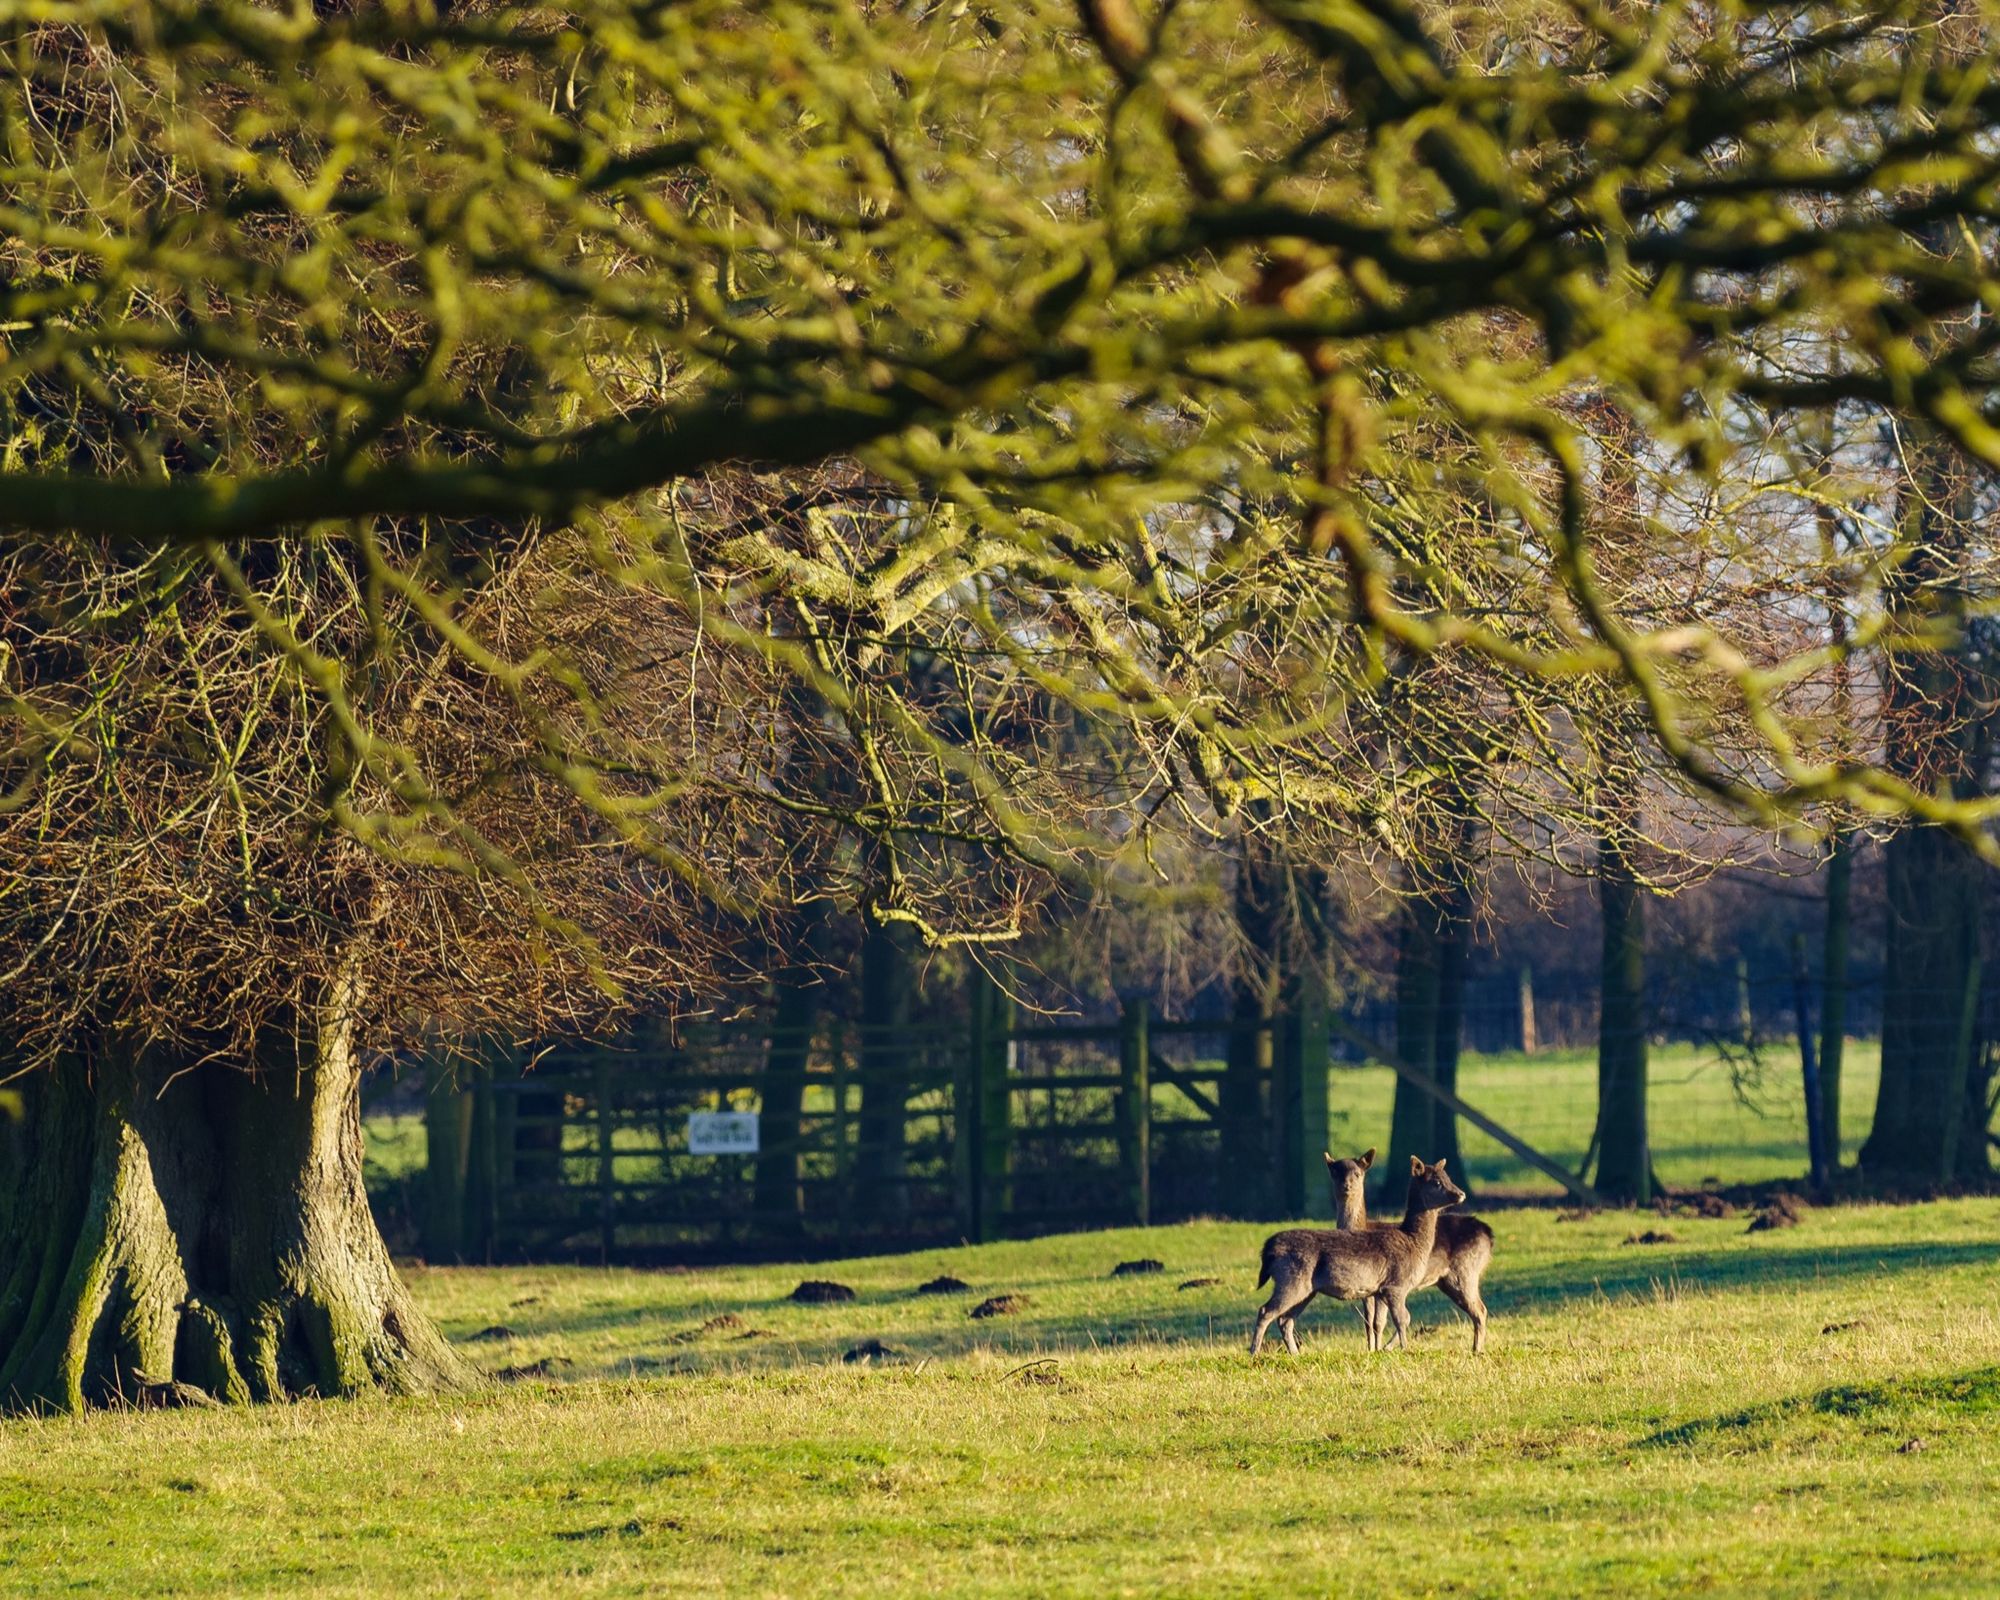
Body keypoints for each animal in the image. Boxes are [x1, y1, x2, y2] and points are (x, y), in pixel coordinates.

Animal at [1248, 1160, 1472, 1360]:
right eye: (1436, 1182)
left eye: (1448, 1177)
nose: (1461, 1194)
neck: (1413, 1243)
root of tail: (1269, 1249)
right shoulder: (1396, 1284)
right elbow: (1402, 1318)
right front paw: (1405, 1349)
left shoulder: (1381, 1291)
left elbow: (1390, 1320)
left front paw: (1386, 1348)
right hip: (1291, 1279)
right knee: (1266, 1310)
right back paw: (1254, 1352)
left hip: (1307, 1289)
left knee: (1285, 1319)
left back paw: (1295, 1354)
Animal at [1320, 1144, 1496, 1360]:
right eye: (1335, 1173)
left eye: (1357, 1173)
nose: (1347, 1186)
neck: (1362, 1227)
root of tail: (1488, 1233)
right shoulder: (1368, 1288)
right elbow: (1369, 1321)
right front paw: (1371, 1349)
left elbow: (1378, 1322)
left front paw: (1377, 1349)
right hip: (1449, 1280)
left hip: (1465, 1271)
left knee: (1480, 1309)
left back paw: (1476, 1349)